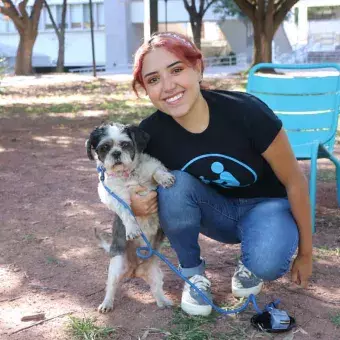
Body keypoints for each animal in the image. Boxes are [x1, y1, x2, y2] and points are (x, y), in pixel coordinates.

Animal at [85, 123, 175, 314]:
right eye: (104, 147)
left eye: (125, 144)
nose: (116, 153)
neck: (129, 174)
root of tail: (135, 270)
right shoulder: (114, 195)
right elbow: (126, 211)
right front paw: (132, 228)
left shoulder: (152, 168)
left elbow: (157, 172)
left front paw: (164, 178)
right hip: (116, 266)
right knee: (111, 287)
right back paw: (106, 303)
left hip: (156, 273)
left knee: (156, 289)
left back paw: (163, 301)